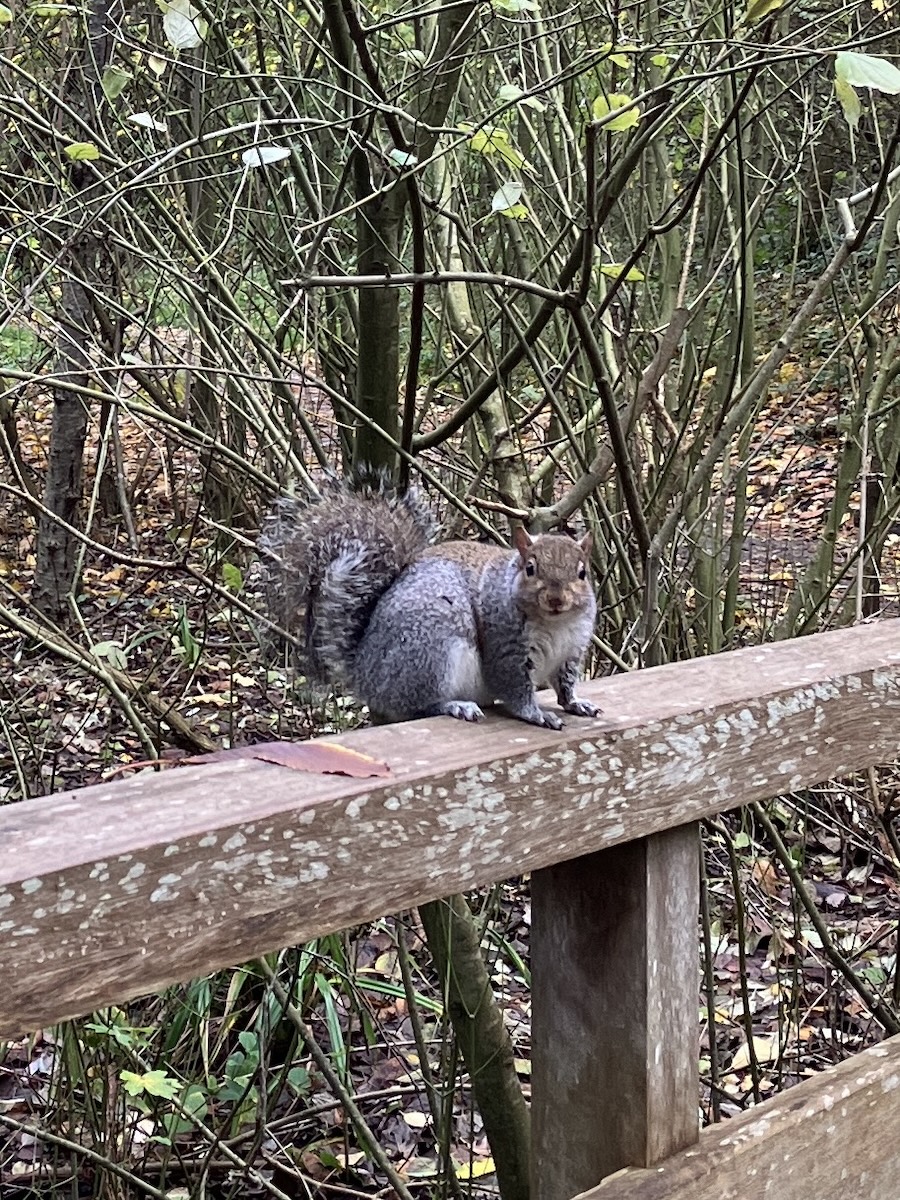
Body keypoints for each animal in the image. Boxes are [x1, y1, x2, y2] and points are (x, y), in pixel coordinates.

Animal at [259, 485, 601, 730]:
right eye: (530, 569)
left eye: (582, 573)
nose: (556, 600)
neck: (554, 624)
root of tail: (364, 675)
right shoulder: (505, 644)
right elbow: (515, 687)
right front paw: (536, 714)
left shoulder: (571, 649)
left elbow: (566, 683)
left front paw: (576, 703)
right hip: (432, 651)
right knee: (418, 706)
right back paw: (455, 705)